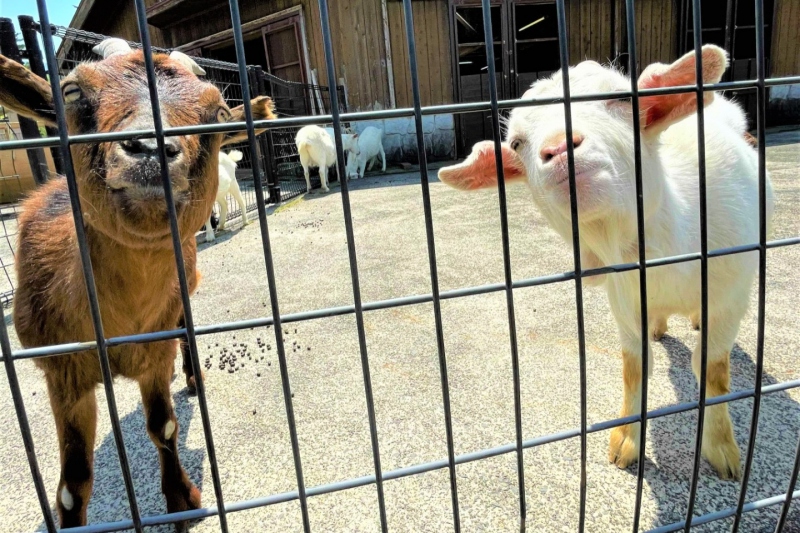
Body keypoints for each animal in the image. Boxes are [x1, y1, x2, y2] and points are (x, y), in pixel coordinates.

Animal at [1, 40, 276, 528]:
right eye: (71, 91)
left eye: (219, 111)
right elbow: (73, 482)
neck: (117, 326)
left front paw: (182, 500)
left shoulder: (154, 348)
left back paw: (192, 377)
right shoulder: (62, 372)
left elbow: (162, 426)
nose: (149, 148)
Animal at [438, 43, 776, 480]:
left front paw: (722, 450)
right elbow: (635, 367)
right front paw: (626, 442)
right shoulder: (625, 300)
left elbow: (713, 370)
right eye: (515, 144)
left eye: (620, 98)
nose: (559, 148)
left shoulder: (729, 297)